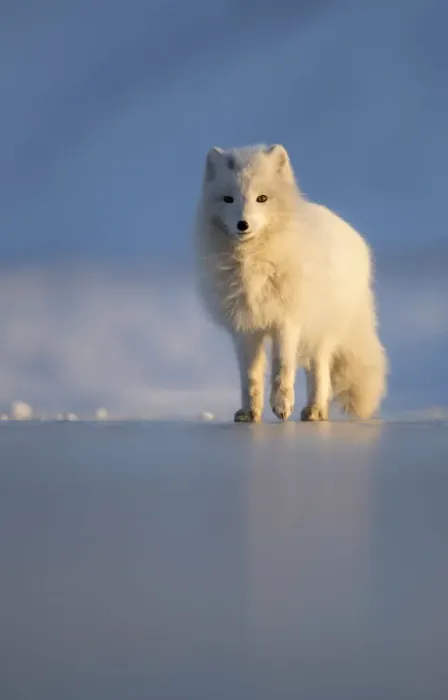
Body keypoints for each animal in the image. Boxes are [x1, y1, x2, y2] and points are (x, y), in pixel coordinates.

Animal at [194, 144, 387, 423]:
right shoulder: (245, 327)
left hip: (321, 334)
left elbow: (282, 366)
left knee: (320, 373)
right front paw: (250, 412)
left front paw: (281, 404)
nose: (243, 224)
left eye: (262, 198)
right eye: (228, 199)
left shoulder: (286, 320)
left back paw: (315, 410)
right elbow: (250, 375)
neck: (253, 261)